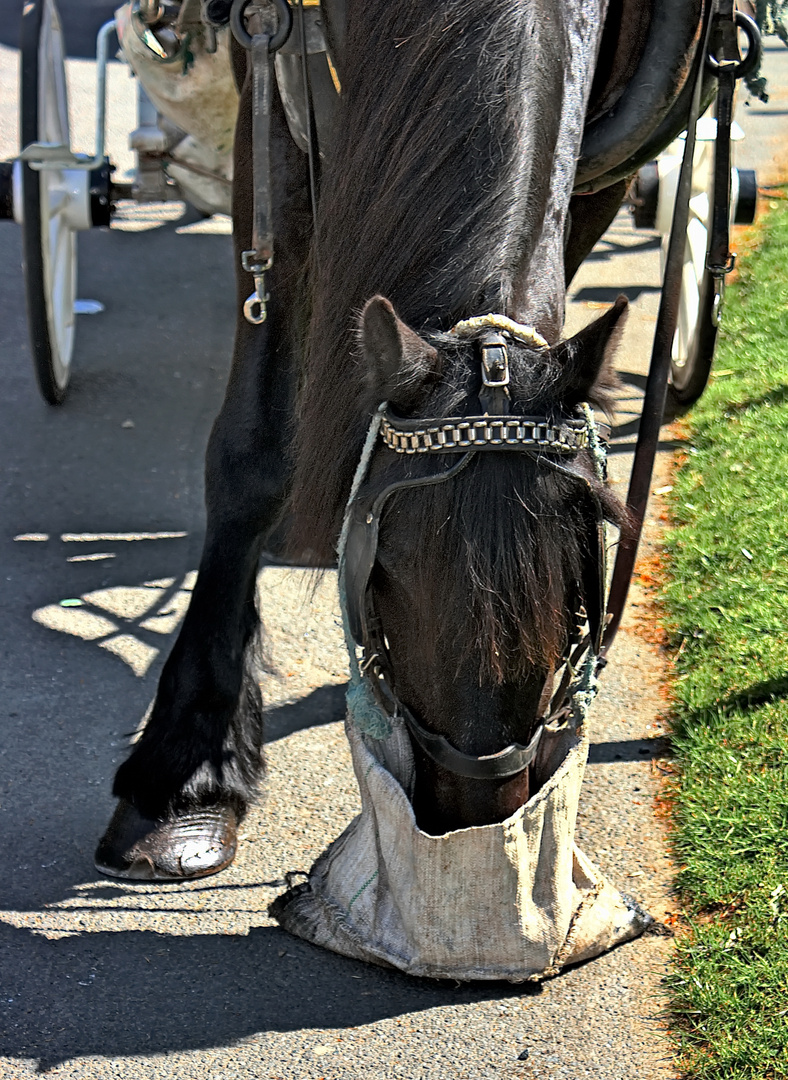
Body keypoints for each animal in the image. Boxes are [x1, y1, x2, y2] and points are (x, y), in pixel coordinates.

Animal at [94, 0, 703, 876]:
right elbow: (254, 457)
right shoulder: (271, 111)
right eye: (389, 572)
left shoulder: (603, 168)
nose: (474, 814)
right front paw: (185, 771)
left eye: (578, 577)